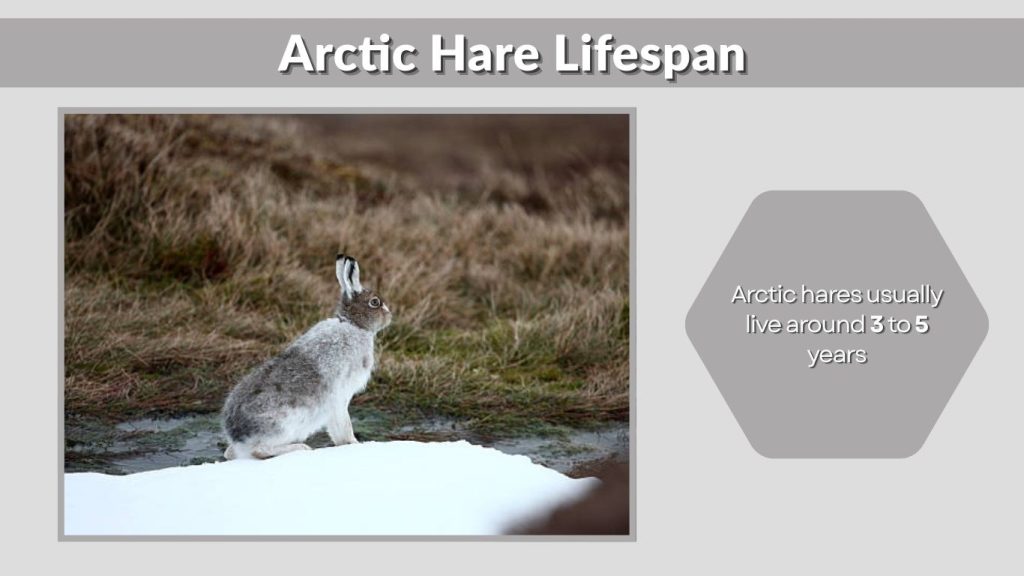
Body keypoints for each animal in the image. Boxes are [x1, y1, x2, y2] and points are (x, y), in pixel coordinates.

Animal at [221, 254, 392, 460]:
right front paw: (354, 444)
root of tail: (237, 434)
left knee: (229, 453)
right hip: (283, 426)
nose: (390, 315)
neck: (354, 325)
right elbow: (343, 426)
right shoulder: (340, 396)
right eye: (375, 302)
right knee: (259, 450)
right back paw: (302, 448)